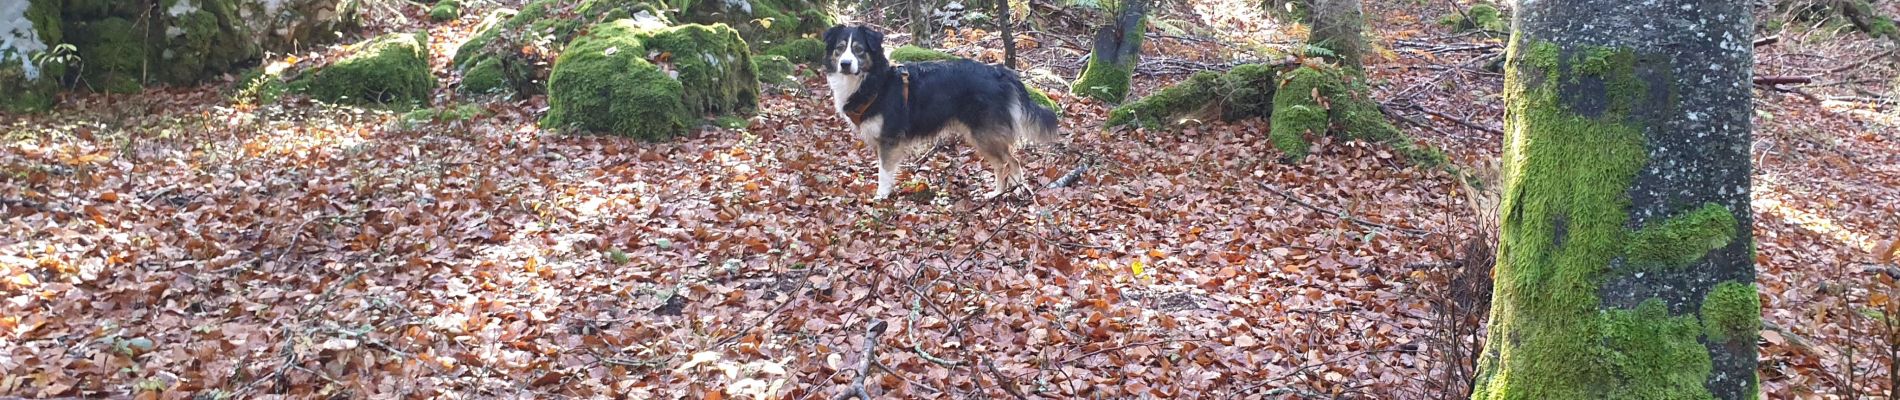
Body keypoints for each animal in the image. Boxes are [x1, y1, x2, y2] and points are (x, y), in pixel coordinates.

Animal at [817, 24, 1064, 199]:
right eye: (840, 49)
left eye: (859, 50)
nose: (845, 64)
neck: (874, 82)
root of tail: (1001, 72)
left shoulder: (889, 139)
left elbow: (884, 172)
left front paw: (881, 196)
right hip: (983, 136)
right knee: (1000, 164)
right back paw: (996, 193)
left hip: (985, 134)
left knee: (1013, 162)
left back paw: (1019, 191)